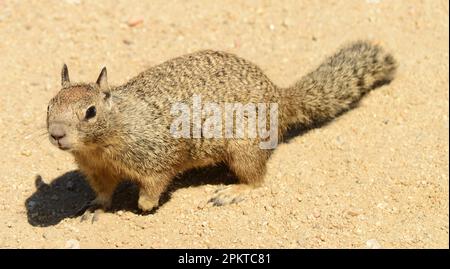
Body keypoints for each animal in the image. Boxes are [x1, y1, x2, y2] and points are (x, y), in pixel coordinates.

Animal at [46, 40, 398, 218]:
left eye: (90, 112)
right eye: (49, 104)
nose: (56, 134)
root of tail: (279, 97)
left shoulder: (157, 158)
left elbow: (155, 184)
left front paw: (143, 205)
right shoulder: (98, 171)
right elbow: (104, 191)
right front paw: (97, 207)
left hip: (244, 149)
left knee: (257, 179)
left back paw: (233, 191)